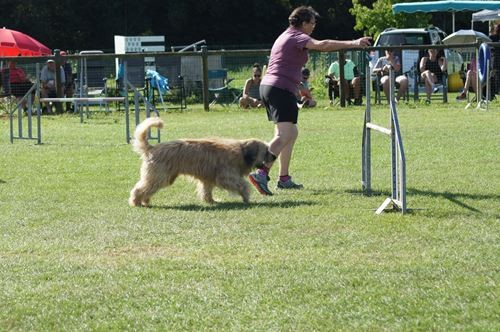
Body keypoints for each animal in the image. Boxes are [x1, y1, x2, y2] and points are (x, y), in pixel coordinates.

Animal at [129, 116, 276, 205]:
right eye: (266, 151)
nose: (274, 156)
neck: (241, 152)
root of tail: (152, 148)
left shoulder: (208, 178)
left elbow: (206, 190)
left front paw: (211, 201)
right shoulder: (226, 177)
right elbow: (242, 185)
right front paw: (246, 196)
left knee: (147, 188)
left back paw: (145, 201)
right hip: (159, 176)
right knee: (140, 188)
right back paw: (136, 201)